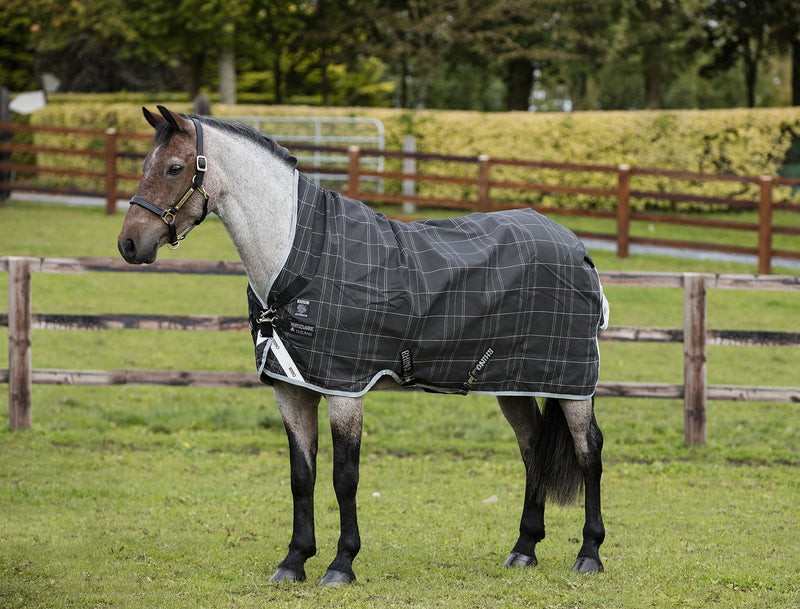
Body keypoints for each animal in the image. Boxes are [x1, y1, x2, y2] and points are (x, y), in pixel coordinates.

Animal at [117, 106, 608, 586]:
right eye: (143, 165)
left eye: (174, 167)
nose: (129, 243)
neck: (299, 262)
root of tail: (575, 245)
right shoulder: (292, 389)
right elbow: (302, 475)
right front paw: (294, 561)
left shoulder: (344, 390)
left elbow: (344, 478)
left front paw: (341, 564)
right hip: (515, 383)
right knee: (533, 449)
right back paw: (524, 549)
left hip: (573, 384)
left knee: (589, 451)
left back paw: (589, 554)